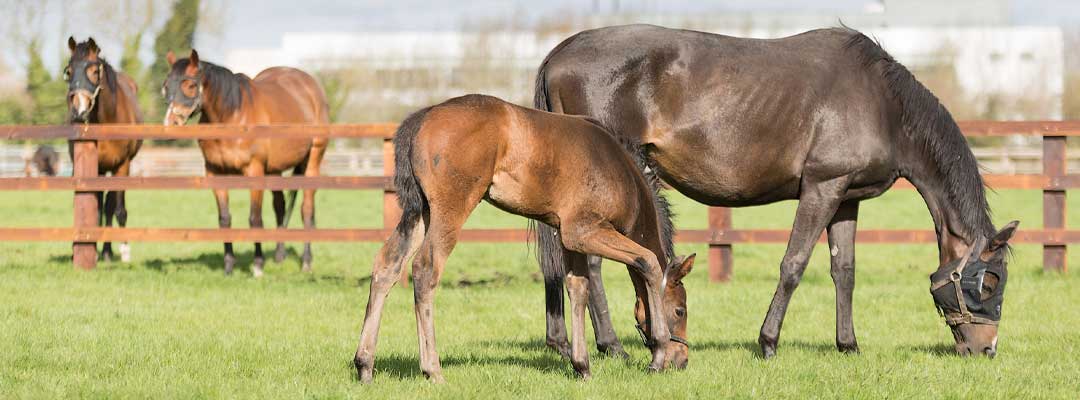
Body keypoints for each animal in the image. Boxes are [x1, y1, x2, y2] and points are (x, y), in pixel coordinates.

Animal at [64, 37, 143, 263]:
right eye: (69, 71)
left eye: (94, 71)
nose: (79, 112)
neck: (108, 118)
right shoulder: (90, 168)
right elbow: (92, 208)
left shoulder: (122, 166)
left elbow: (118, 209)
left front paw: (124, 251)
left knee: (110, 206)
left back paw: (108, 251)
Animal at [162, 50, 329, 277]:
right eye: (166, 86)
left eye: (190, 85)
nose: (170, 124)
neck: (232, 117)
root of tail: (311, 85)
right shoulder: (215, 173)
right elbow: (225, 219)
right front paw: (228, 267)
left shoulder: (254, 172)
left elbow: (255, 219)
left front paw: (257, 266)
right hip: (274, 170)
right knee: (280, 206)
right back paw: (279, 256)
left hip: (312, 161)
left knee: (307, 211)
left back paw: (306, 262)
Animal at [353, 94, 696, 383]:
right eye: (680, 310)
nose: (682, 360)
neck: (622, 172)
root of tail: (422, 117)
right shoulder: (585, 231)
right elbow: (648, 262)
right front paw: (657, 353)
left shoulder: (571, 238)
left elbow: (578, 287)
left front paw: (582, 366)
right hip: (451, 209)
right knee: (425, 269)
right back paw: (432, 370)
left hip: (419, 212)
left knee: (386, 266)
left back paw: (365, 365)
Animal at [532, 24, 1020, 359]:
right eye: (990, 281)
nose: (987, 348)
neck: (883, 104)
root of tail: (558, 53)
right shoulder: (822, 187)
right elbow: (794, 264)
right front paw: (767, 342)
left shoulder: (847, 198)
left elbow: (845, 271)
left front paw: (848, 345)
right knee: (594, 261)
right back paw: (611, 344)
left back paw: (565, 342)